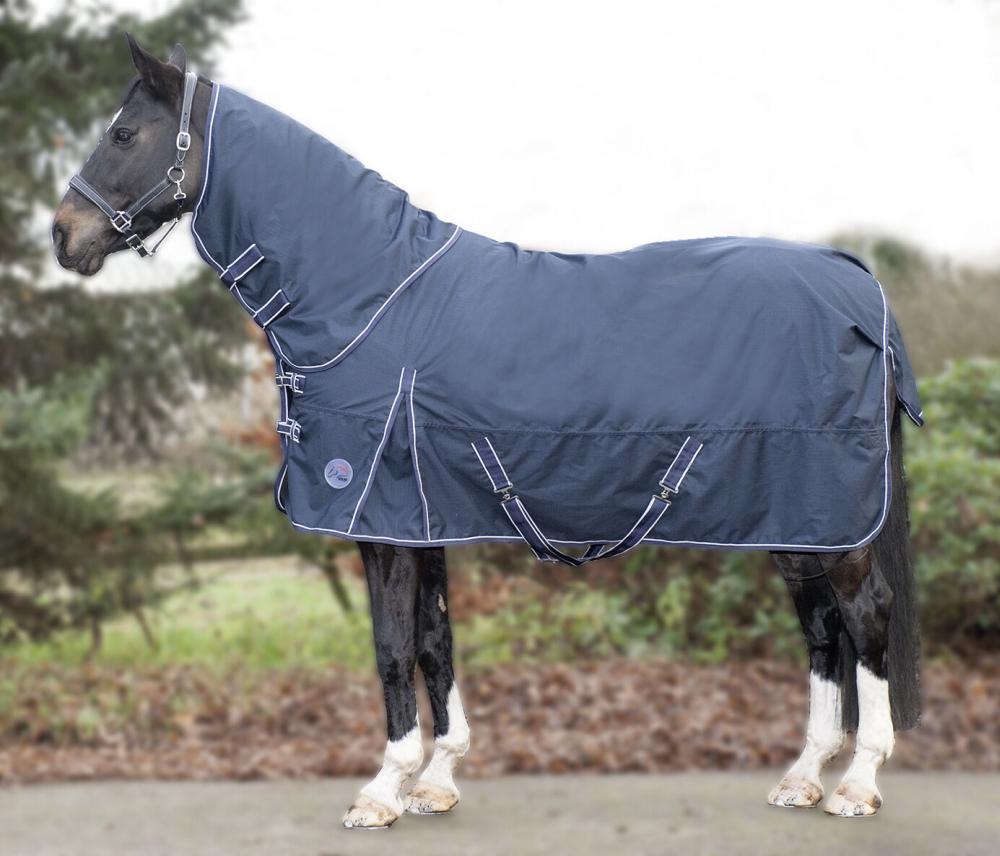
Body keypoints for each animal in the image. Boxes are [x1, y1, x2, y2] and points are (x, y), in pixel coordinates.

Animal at [52, 36, 922, 828]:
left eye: (124, 134)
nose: (63, 236)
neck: (369, 302)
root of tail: (862, 290)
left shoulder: (382, 525)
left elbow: (392, 647)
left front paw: (383, 789)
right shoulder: (421, 516)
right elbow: (436, 642)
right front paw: (436, 779)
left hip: (831, 520)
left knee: (866, 614)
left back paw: (858, 782)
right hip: (797, 521)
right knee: (822, 629)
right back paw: (803, 775)